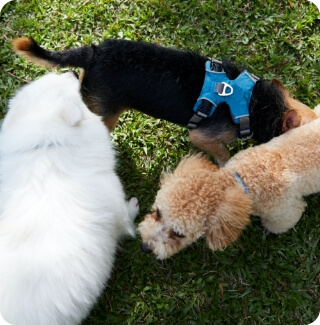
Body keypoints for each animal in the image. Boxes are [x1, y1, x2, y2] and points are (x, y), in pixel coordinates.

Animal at [0, 72, 139, 322]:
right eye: (68, 89)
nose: (73, 72)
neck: (48, 146)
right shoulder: (115, 204)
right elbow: (126, 219)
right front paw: (134, 207)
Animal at [11, 37, 304, 162]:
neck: (257, 102)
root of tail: (94, 52)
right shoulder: (203, 136)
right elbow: (222, 153)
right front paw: (226, 165)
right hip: (105, 115)